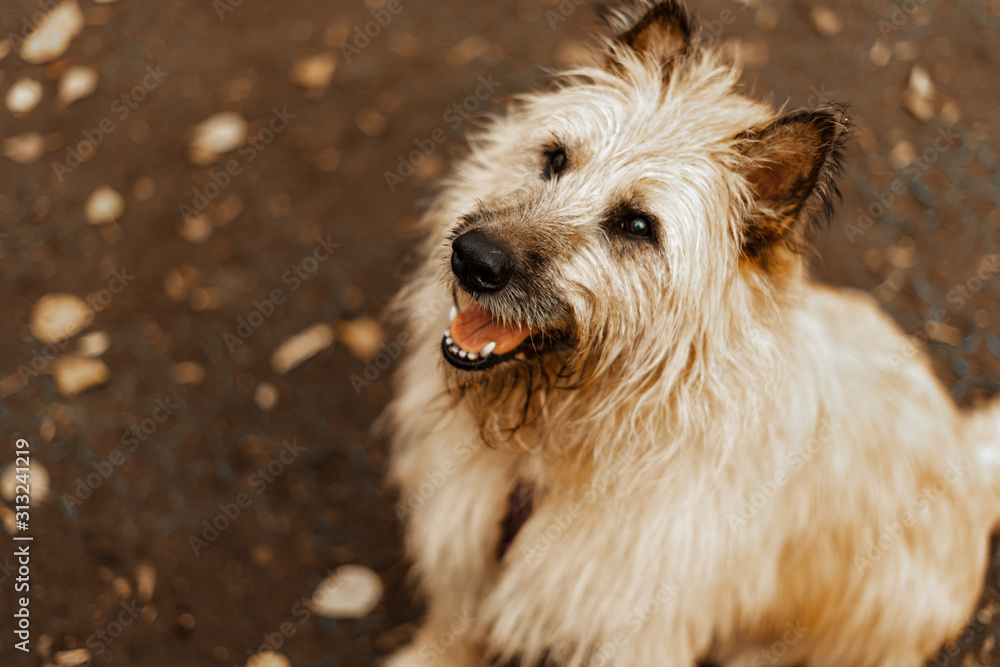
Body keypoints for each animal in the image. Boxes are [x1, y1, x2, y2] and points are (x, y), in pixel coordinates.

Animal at [380, 2, 1000, 664]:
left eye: (636, 226)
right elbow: (453, 621)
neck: (549, 449)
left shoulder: (630, 623)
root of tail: (969, 457)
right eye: (555, 159)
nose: (473, 258)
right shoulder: (466, 540)